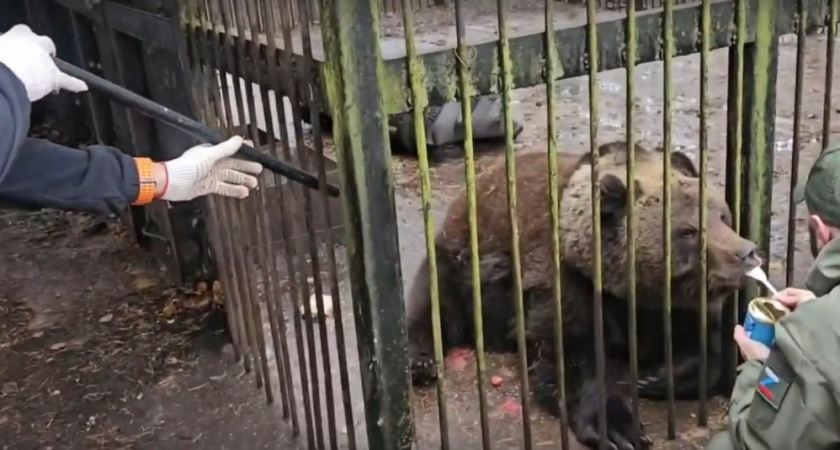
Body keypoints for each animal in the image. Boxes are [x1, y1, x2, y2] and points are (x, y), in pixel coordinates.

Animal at [406, 142, 760, 448]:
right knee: (436, 303)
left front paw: (659, 377)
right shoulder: (562, 279)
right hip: (464, 262)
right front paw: (619, 429)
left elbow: (710, 345)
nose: (746, 252)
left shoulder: (672, 307)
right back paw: (421, 360)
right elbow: (569, 352)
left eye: (723, 216)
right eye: (687, 231)